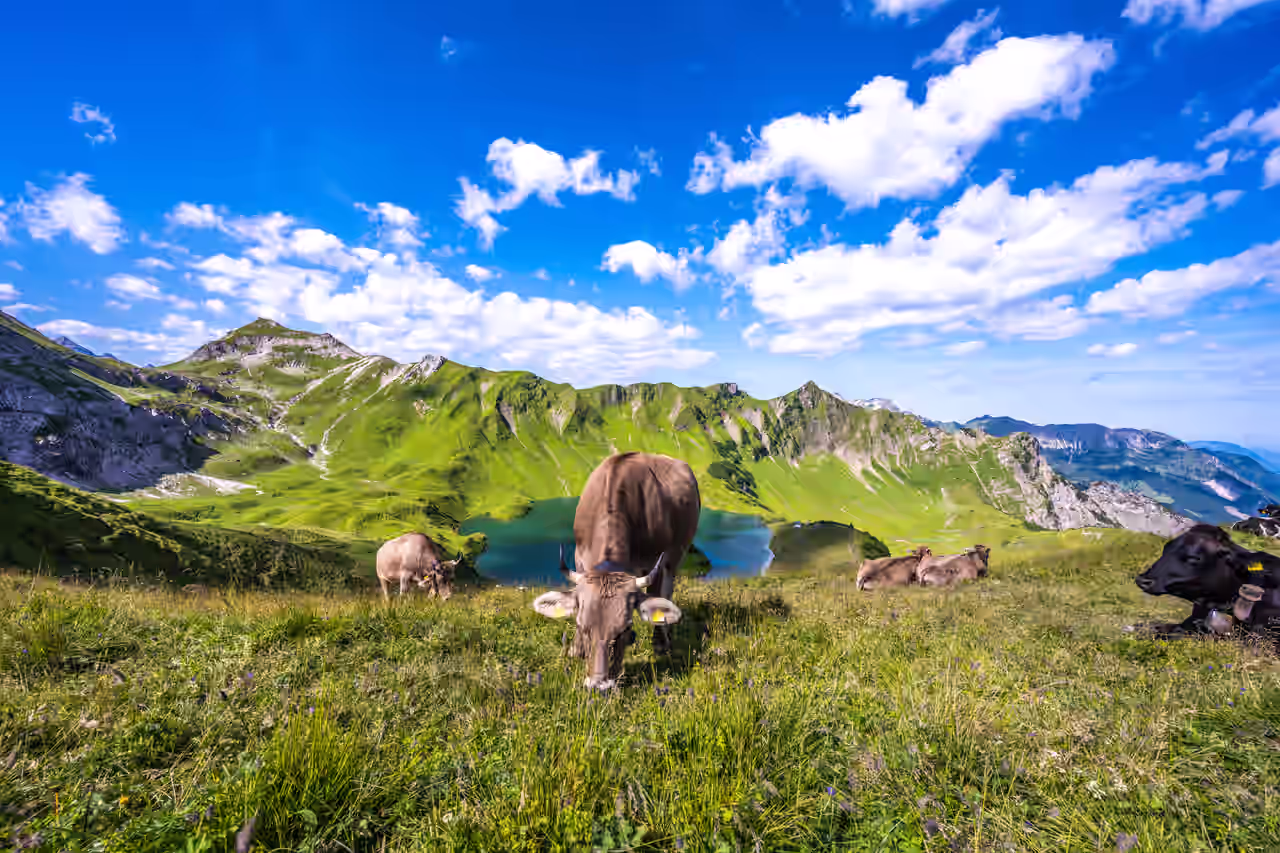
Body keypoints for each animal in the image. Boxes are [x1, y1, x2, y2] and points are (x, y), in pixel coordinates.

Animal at [531, 452, 699, 690]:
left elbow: (655, 596)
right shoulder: (580, 558)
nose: (599, 686)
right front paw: (576, 649)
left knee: (666, 590)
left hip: (676, 555)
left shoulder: (654, 562)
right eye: (582, 625)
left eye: (625, 628)